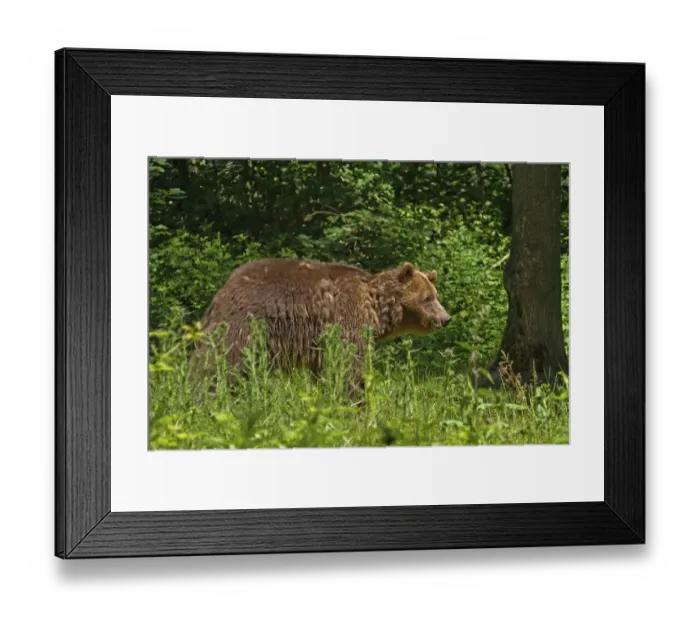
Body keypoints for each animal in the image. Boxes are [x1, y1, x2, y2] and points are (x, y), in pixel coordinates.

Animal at [191, 258, 451, 395]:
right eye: (427, 298)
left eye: (435, 295)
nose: (446, 318)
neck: (376, 308)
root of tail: (224, 288)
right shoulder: (346, 320)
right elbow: (349, 365)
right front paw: (356, 398)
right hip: (246, 323)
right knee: (219, 360)